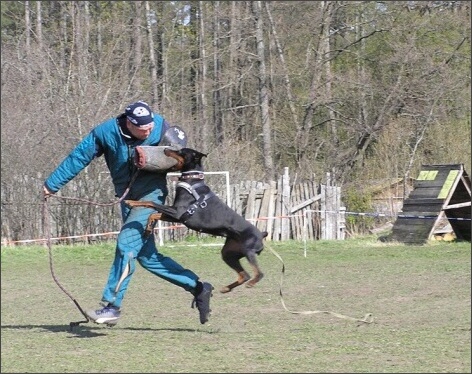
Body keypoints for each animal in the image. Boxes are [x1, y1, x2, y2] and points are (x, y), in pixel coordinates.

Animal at [123, 146, 268, 292]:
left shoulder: (177, 213)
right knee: (244, 274)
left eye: (181, 151)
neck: (192, 180)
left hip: (248, 250)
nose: (166, 149)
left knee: (259, 273)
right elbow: (153, 215)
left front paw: (131, 202)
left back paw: (251, 282)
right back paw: (226, 288)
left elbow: (150, 203)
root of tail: (262, 234)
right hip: (228, 253)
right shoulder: (177, 217)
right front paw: (147, 230)